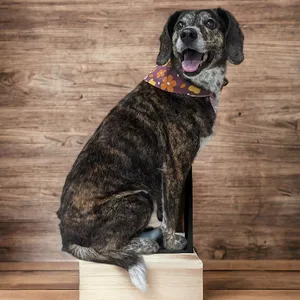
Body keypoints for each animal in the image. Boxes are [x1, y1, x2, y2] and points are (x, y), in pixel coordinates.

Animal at [56, 7, 244, 290]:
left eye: (210, 23)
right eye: (180, 25)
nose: (188, 34)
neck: (190, 86)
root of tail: (66, 240)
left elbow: (168, 212)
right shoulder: (174, 168)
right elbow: (171, 214)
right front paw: (172, 243)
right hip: (138, 198)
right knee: (103, 247)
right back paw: (145, 244)